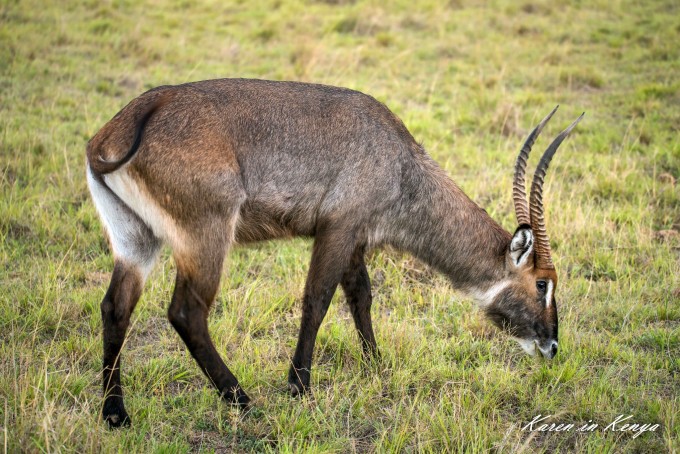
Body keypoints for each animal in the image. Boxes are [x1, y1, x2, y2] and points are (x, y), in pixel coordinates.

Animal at [86, 78, 584, 426]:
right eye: (543, 283)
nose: (552, 346)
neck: (400, 160)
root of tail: (138, 115)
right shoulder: (338, 228)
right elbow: (318, 300)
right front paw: (299, 386)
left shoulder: (356, 237)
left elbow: (360, 295)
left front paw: (375, 366)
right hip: (206, 235)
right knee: (186, 312)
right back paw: (242, 399)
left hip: (135, 241)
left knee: (115, 307)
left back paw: (115, 413)